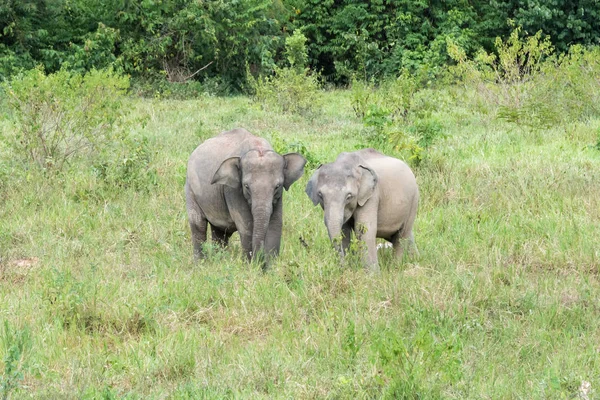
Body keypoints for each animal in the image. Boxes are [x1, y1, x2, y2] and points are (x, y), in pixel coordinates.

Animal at [184, 128, 308, 266]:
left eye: (277, 186)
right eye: (246, 186)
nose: (261, 261)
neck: (259, 147)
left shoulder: (279, 196)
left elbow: (275, 224)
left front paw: (270, 267)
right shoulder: (233, 190)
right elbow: (246, 225)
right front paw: (250, 265)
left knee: (220, 232)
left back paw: (219, 261)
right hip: (190, 189)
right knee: (198, 225)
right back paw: (200, 264)